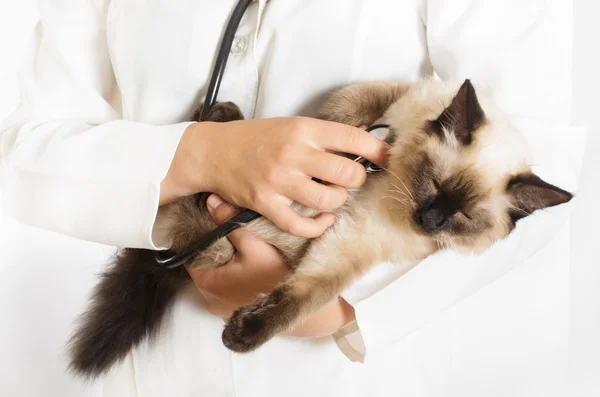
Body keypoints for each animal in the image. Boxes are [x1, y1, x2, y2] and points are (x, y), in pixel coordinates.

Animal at [68, 78, 576, 378]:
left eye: (463, 218)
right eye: (432, 183)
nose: (428, 220)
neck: (387, 182)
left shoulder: (349, 246)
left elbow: (302, 297)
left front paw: (242, 335)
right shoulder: (383, 98)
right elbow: (335, 118)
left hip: (211, 243)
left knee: (201, 242)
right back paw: (222, 116)